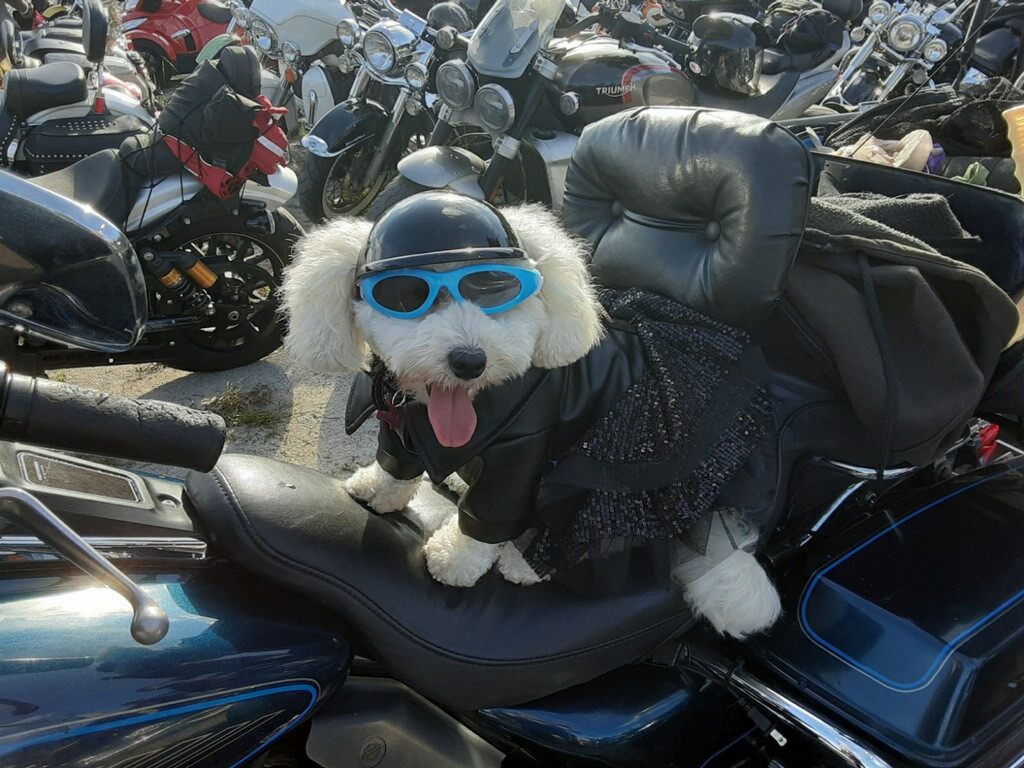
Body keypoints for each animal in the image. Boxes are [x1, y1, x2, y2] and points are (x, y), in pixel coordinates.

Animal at [282, 194, 781, 639]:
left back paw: (525, 562)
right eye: (406, 295)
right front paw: (377, 488)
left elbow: (487, 519)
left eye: (495, 287)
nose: (470, 361)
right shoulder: (400, 424)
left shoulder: (519, 451)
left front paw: (456, 559)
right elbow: (395, 463)